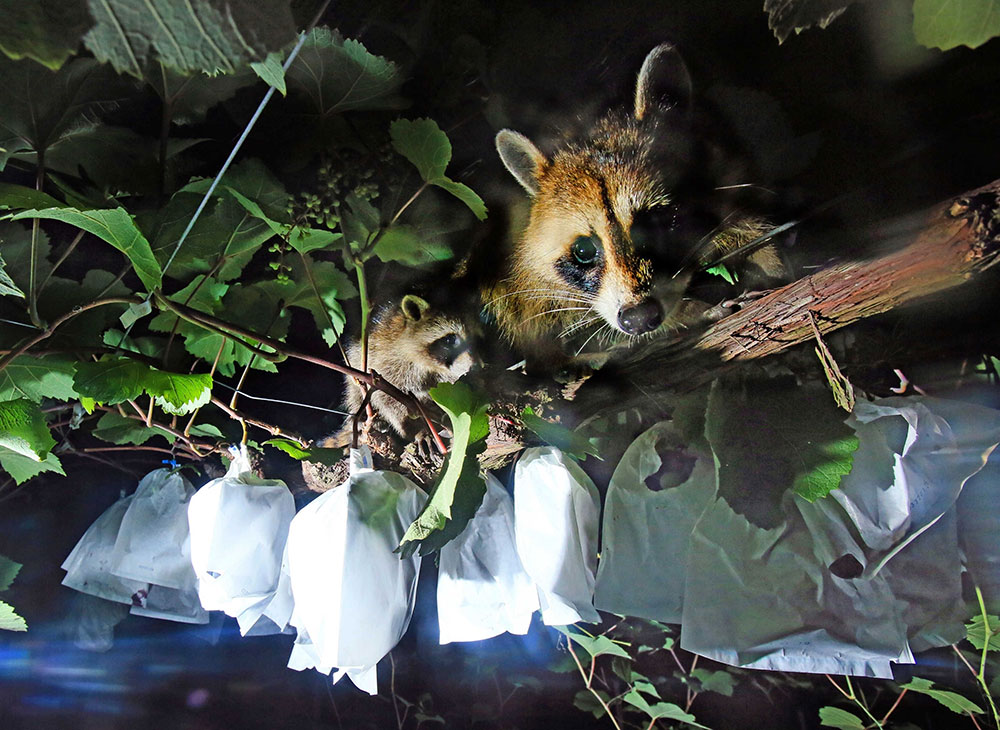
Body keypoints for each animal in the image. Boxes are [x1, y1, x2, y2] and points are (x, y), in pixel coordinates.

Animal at [322, 292, 474, 446]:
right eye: (450, 340)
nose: (474, 366)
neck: (428, 364)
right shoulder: (385, 362)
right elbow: (389, 399)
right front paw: (418, 429)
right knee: (356, 394)